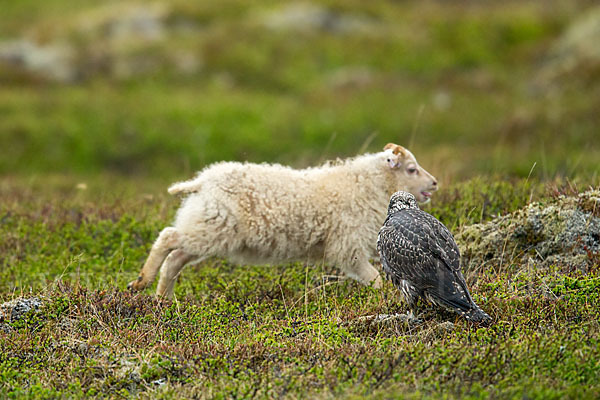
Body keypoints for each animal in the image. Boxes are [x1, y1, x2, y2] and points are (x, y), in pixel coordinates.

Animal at [127, 143, 436, 296]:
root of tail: (202, 181)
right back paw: (142, 282)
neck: (365, 185)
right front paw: (381, 297)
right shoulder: (348, 245)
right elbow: (372, 277)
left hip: (207, 229)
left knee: (175, 258)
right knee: (167, 237)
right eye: (411, 169)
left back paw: (162, 299)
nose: (434, 183)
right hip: (211, 226)